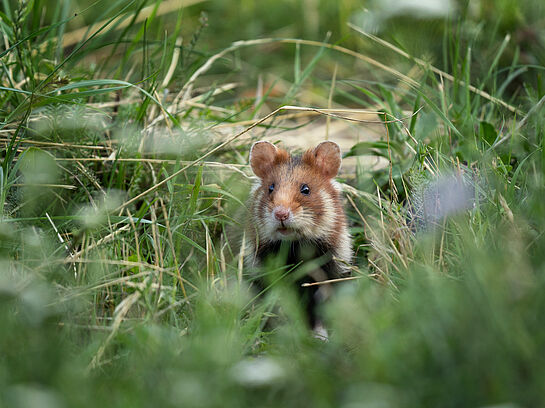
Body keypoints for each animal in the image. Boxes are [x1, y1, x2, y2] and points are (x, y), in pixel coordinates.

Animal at [243, 141, 352, 334]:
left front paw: (320, 335)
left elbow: (318, 312)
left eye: (306, 189)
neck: (294, 247)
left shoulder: (327, 275)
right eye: (270, 188)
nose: (281, 214)